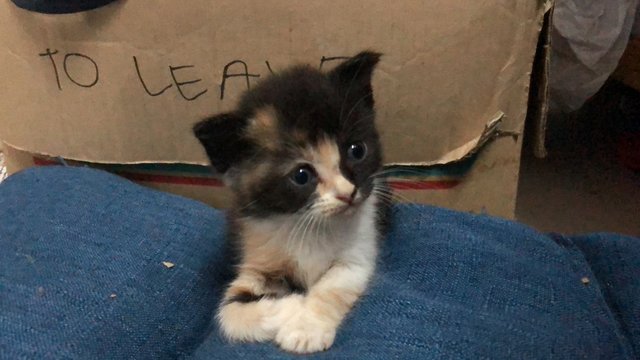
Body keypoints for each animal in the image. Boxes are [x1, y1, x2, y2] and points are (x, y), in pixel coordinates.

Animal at [192, 50, 388, 354]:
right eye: (301, 175)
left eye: (357, 151)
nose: (347, 193)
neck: (309, 222)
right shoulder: (257, 255)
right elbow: (229, 312)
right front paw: (293, 306)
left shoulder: (359, 253)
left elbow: (332, 286)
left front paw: (305, 328)